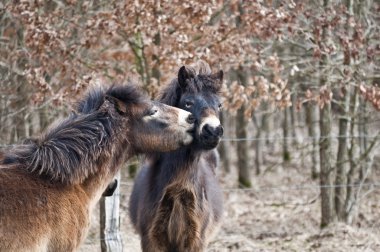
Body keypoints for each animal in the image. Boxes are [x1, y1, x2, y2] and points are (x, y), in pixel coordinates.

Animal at [130, 61, 224, 252]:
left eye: (219, 105)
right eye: (188, 103)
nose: (213, 131)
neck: (177, 189)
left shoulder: (195, 241)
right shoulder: (151, 240)